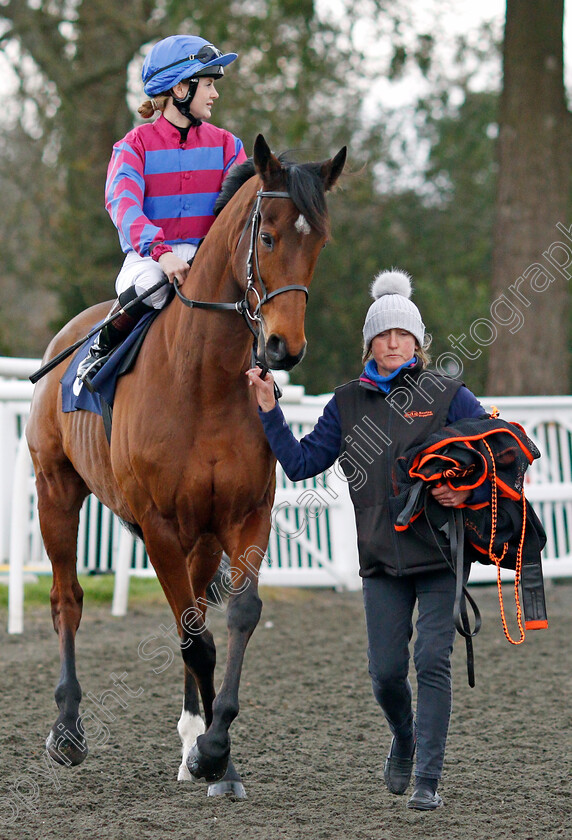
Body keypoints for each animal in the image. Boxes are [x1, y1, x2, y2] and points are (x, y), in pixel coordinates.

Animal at [26, 135, 346, 796]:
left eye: (320, 242)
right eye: (268, 236)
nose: (284, 347)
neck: (202, 380)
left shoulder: (244, 514)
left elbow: (235, 619)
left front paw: (215, 752)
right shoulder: (159, 526)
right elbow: (195, 641)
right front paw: (211, 754)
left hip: (200, 536)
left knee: (192, 610)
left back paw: (190, 739)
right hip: (56, 491)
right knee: (68, 597)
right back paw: (67, 730)